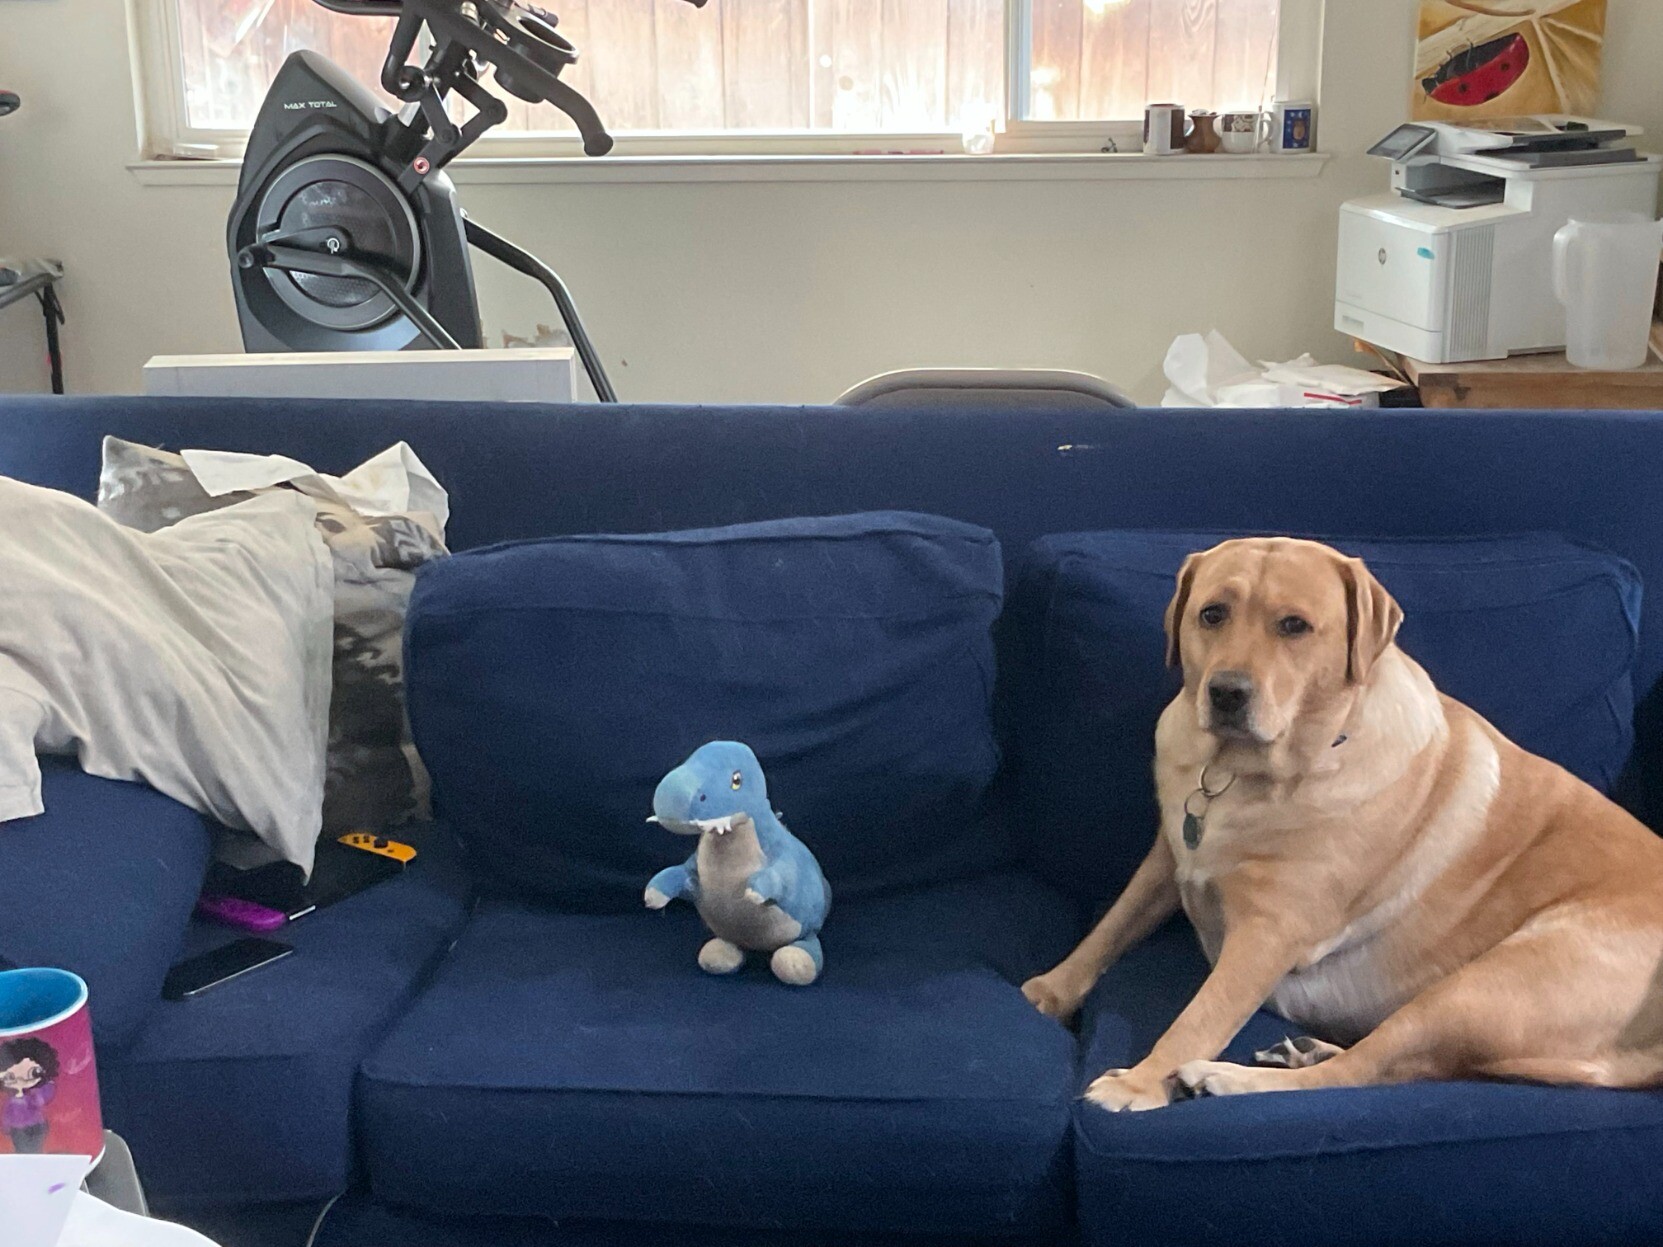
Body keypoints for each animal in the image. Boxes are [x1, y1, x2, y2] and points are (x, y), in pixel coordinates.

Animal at [1021, 537, 1663, 1111]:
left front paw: (1140, 1083)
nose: (1227, 692)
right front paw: (1051, 989)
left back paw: (1226, 1078)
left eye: (1294, 626)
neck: (1240, 774)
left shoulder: (1269, 931)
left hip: (1479, 988)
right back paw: (1304, 1051)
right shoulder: (1167, 857)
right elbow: (1111, 926)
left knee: (1366, 1071)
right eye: (1212, 614)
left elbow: (1201, 1014)